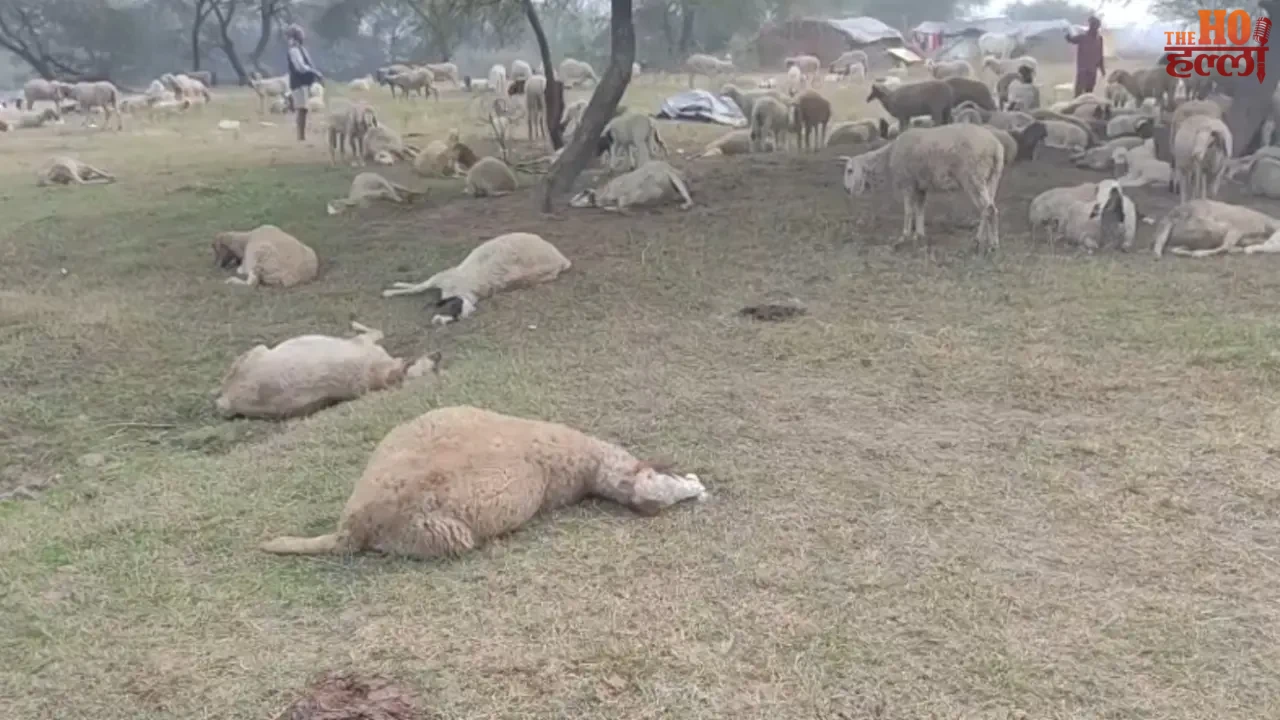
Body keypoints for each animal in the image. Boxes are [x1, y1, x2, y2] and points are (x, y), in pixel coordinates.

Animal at [214, 322, 439, 420]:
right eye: (424, 367)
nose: (438, 356)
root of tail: (230, 398)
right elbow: (377, 331)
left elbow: (376, 331)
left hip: (256, 351)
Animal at [382, 232, 569, 324]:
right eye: (451, 307)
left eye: (455, 317)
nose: (439, 322)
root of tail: (561, 259)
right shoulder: (441, 277)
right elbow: (419, 286)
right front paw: (394, 288)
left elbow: (419, 287)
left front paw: (391, 291)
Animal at [840, 124, 1005, 252]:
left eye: (849, 170)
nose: (846, 190)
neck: (887, 158)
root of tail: (995, 147)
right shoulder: (921, 187)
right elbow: (920, 210)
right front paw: (919, 236)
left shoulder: (908, 184)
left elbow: (909, 211)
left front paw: (903, 237)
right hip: (992, 178)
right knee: (988, 209)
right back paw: (985, 241)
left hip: (973, 177)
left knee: (988, 209)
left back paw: (989, 244)